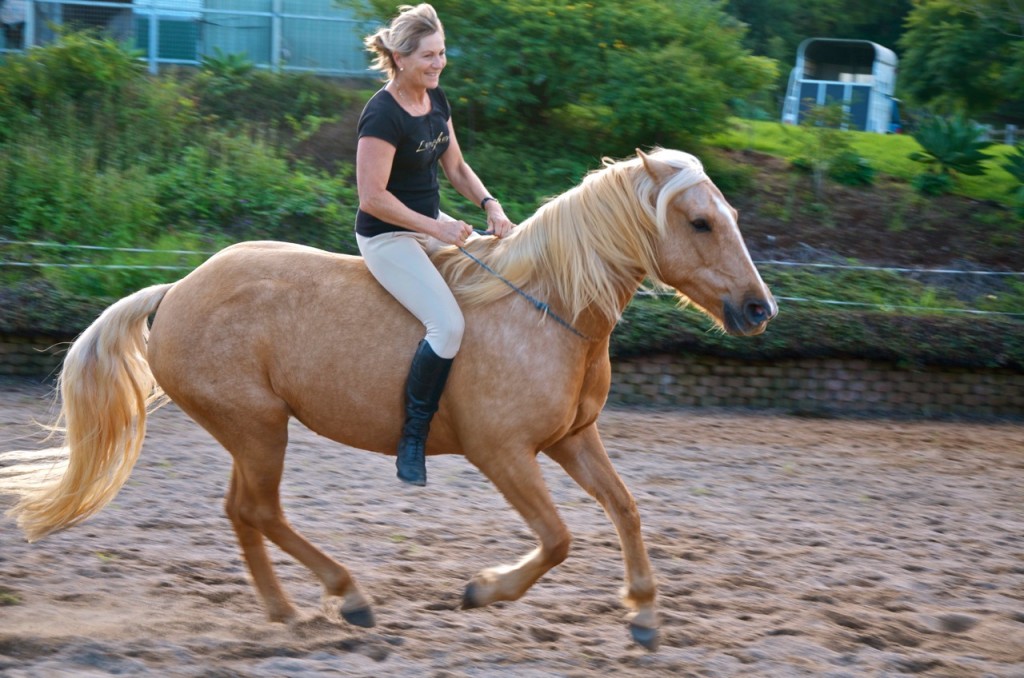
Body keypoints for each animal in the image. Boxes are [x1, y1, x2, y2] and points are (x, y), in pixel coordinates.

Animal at [0, 147, 774, 647]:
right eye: (700, 223)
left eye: (730, 215)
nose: (758, 309)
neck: (547, 308)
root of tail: (176, 291)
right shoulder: (503, 453)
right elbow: (557, 538)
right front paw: (482, 590)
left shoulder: (569, 439)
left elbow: (626, 509)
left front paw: (643, 613)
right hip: (258, 427)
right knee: (259, 509)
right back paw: (348, 598)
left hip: (252, 430)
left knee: (243, 511)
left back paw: (286, 613)